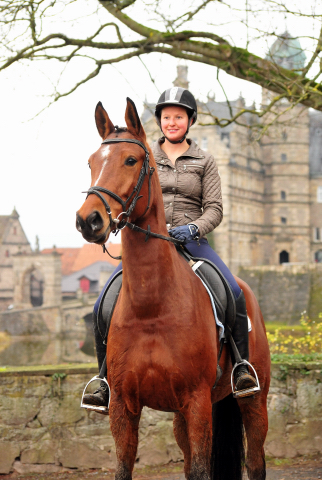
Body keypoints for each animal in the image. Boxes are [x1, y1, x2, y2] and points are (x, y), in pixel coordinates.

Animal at [76, 97, 270, 480]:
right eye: (92, 162)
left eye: (131, 160)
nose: (88, 220)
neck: (152, 306)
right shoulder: (123, 408)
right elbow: (125, 467)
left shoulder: (197, 402)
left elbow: (202, 469)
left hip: (253, 402)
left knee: (256, 462)